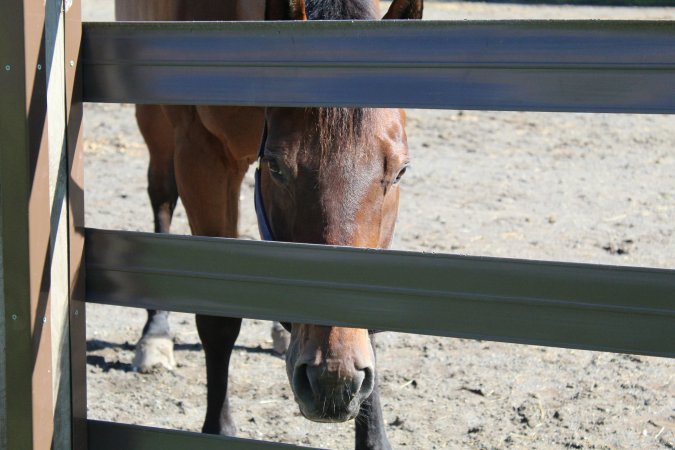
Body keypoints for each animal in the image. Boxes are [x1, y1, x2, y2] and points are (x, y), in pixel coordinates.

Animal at [116, 0, 422, 446]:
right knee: (161, 200)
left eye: (399, 172)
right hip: (156, 126)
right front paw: (219, 429)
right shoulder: (202, 156)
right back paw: (155, 334)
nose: (333, 381)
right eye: (277, 166)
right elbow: (219, 320)